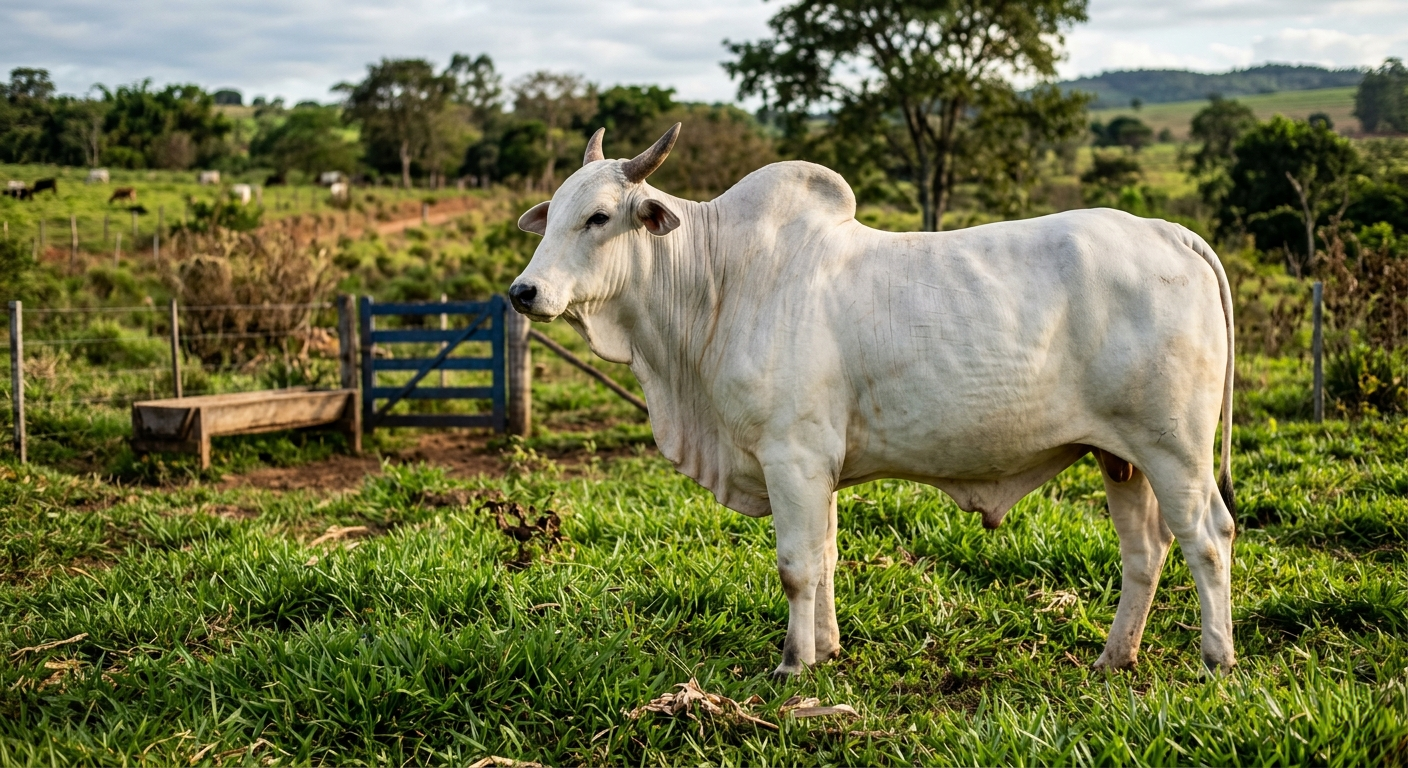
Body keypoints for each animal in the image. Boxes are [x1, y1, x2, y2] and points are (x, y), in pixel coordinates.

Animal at [509, 125, 1237, 676]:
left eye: (599, 217)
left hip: (1174, 449)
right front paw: (826, 648)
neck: (717, 283)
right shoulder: (819, 466)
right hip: (1122, 457)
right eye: (551, 215)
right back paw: (1115, 658)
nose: (524, 292)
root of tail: (1171, 232)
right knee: (1145, 551)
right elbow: (826, 557)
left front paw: (793, 665)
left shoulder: (792, 458)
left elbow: (797, 566)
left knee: (1208, 537)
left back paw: (1216, 660)